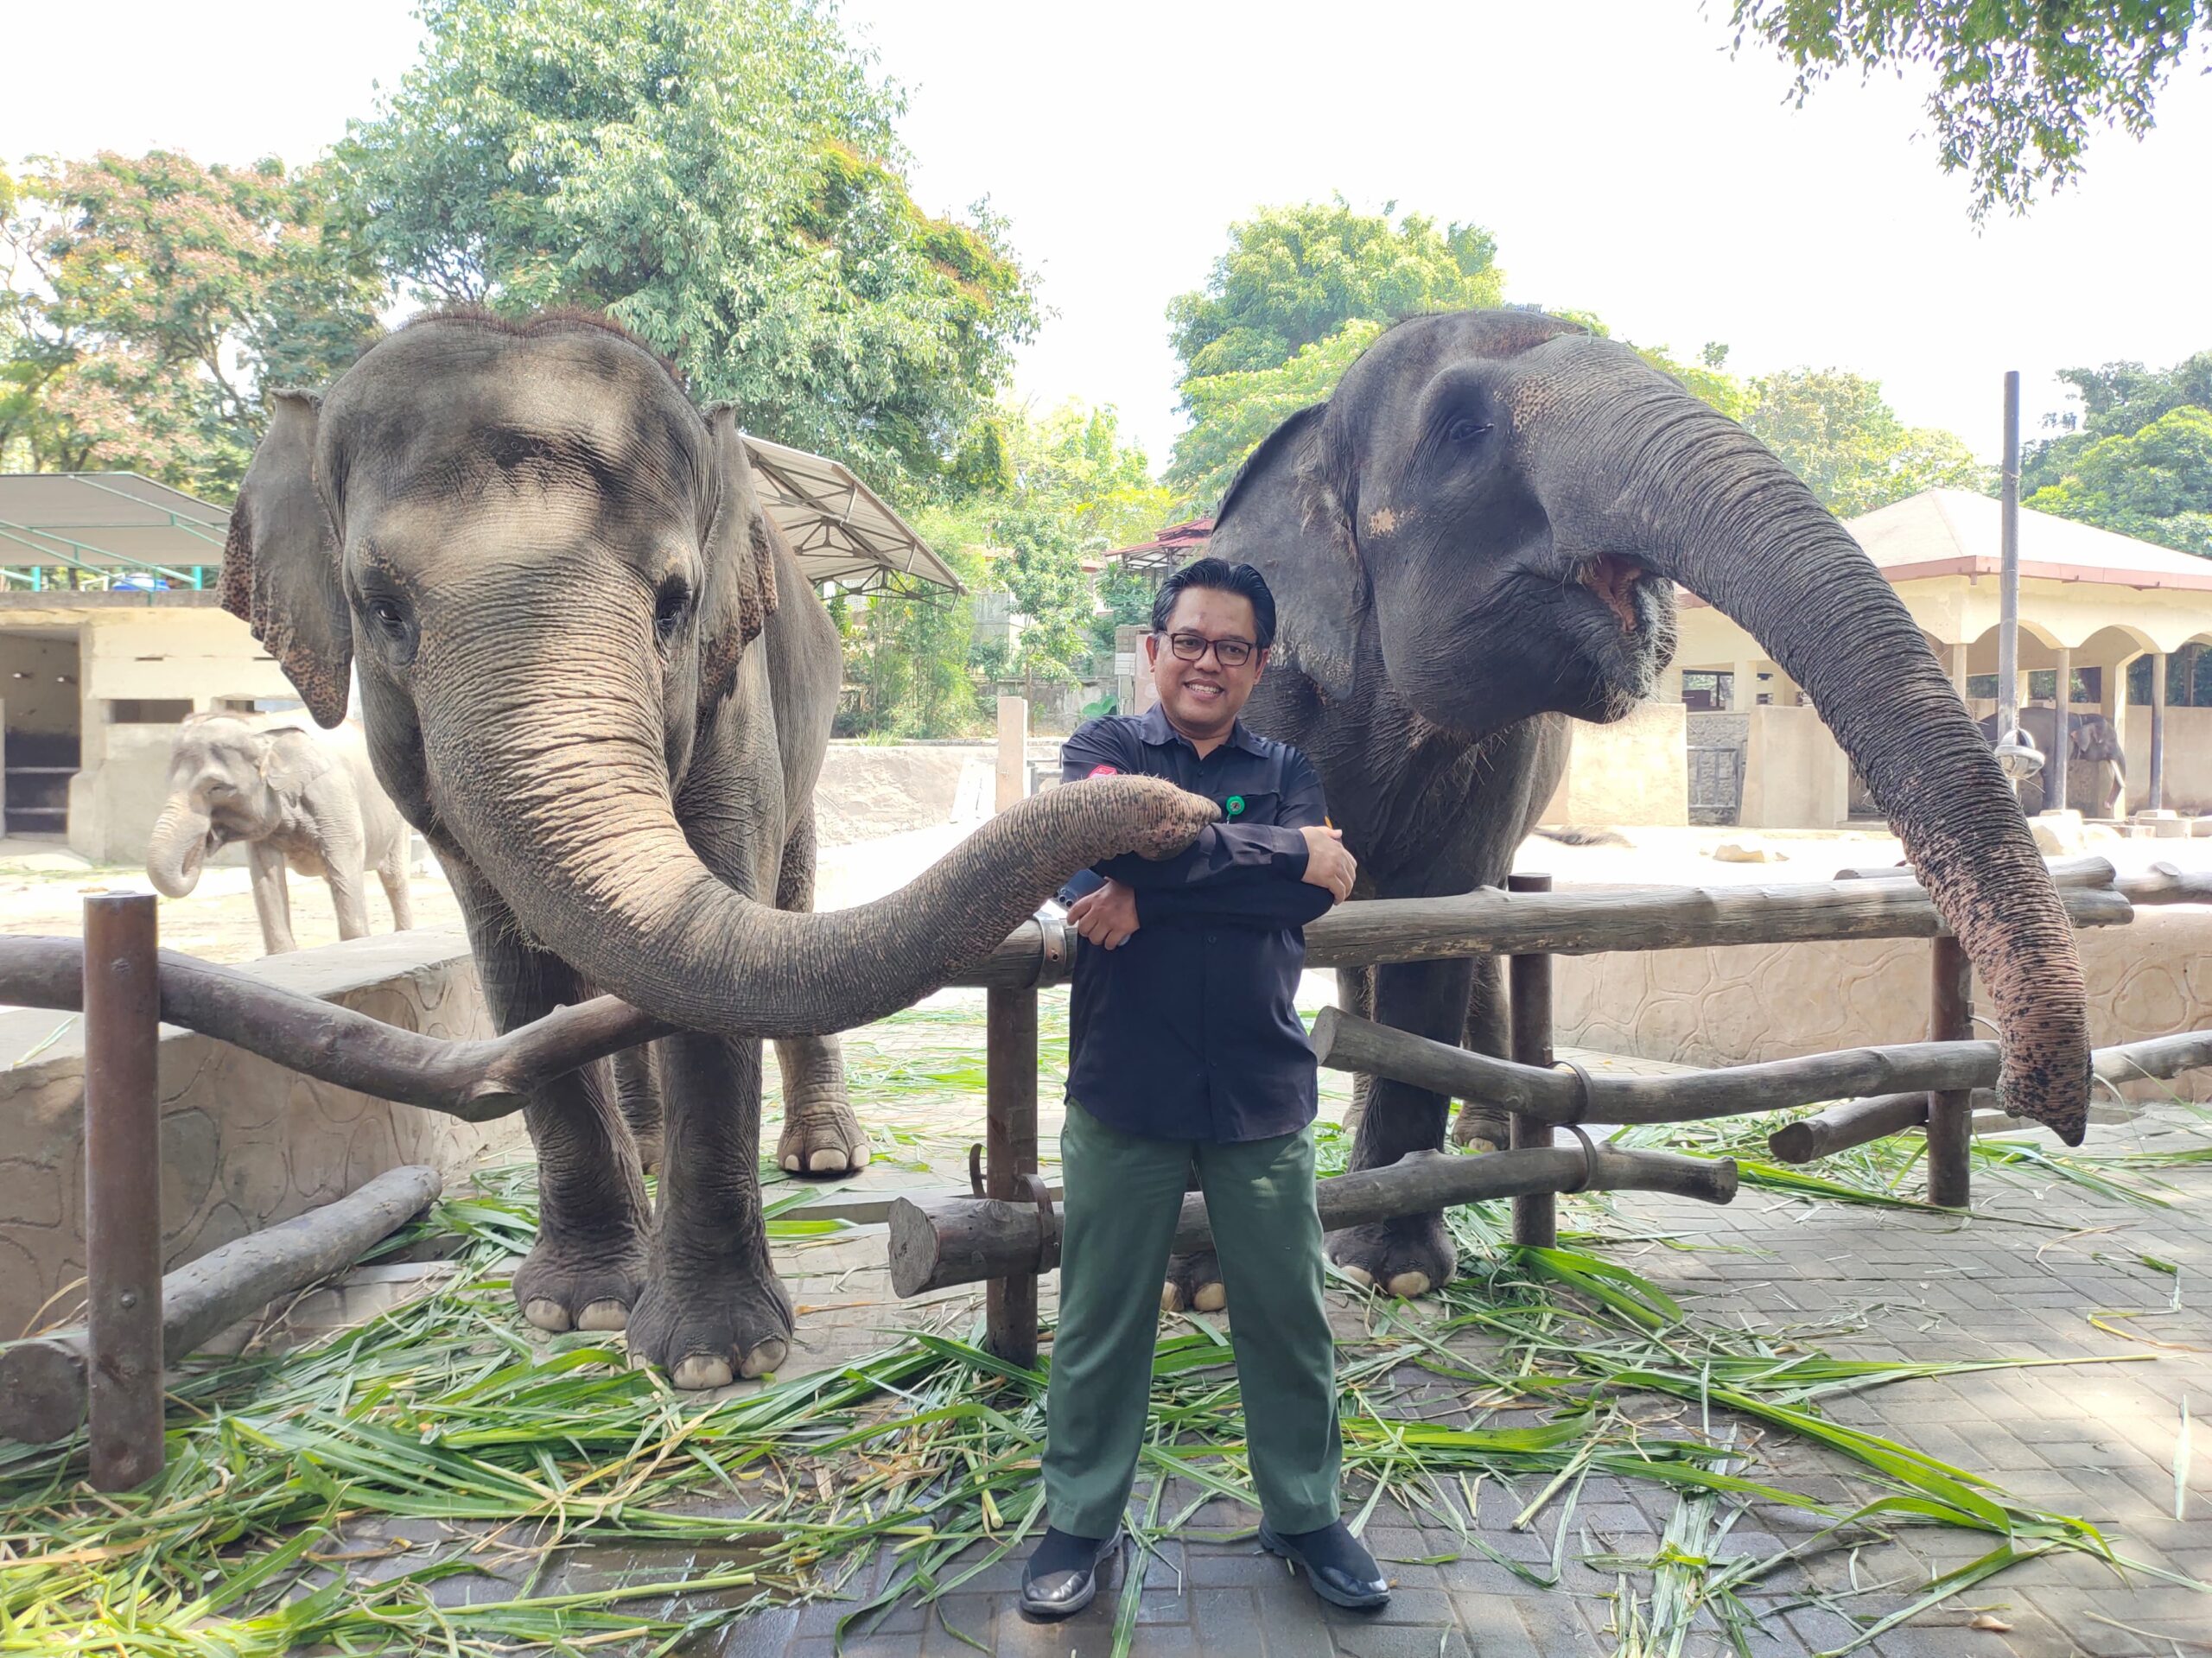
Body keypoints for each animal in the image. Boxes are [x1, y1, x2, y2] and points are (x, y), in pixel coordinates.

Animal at [147, 711, 416, 955]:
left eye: (217, 787)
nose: (207, 838)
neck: (260, 729)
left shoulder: (333, 795)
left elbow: (343, 859)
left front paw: (356, 942)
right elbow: (266, 873)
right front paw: (282, 953)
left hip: (399, 819)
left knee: (393, 877)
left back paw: (404, 933)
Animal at [218, 311, 1221, 1388]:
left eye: (674, 601)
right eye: (381, 606)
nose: (1184, 811)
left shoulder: (735, 696)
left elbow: (718, 946)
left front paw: (712, 1358)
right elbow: (516, 967)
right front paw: (577, 1308)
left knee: (788, 897)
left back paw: (822, 1158)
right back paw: (650, 1155)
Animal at [1176, 305, 2088, 1308]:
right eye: (1462, 429)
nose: (2033, 1099)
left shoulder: (1495, 759)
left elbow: (1436, 924)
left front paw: (1394, 1271)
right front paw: (1204, 1287)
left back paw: (1482, 1140)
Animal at [1981, 707, 2132, 817]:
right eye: (2111, 741)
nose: (2106, 805)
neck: (2082, 717)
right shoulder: (2059, 747)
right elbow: (2050, 774)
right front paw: (2046, 812)